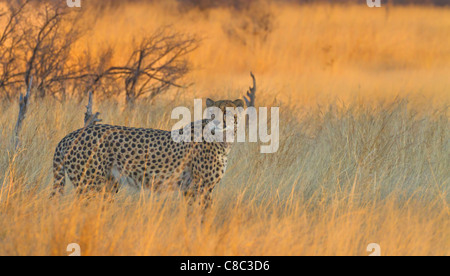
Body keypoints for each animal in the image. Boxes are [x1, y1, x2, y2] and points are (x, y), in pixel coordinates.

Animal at [50, 98, 244, 208]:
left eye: (227, 112)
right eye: (213, 114)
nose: (218, 122)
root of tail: (70, 135)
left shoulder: (190, 190)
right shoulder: (201, 188)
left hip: (108, 185)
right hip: (89, 186)